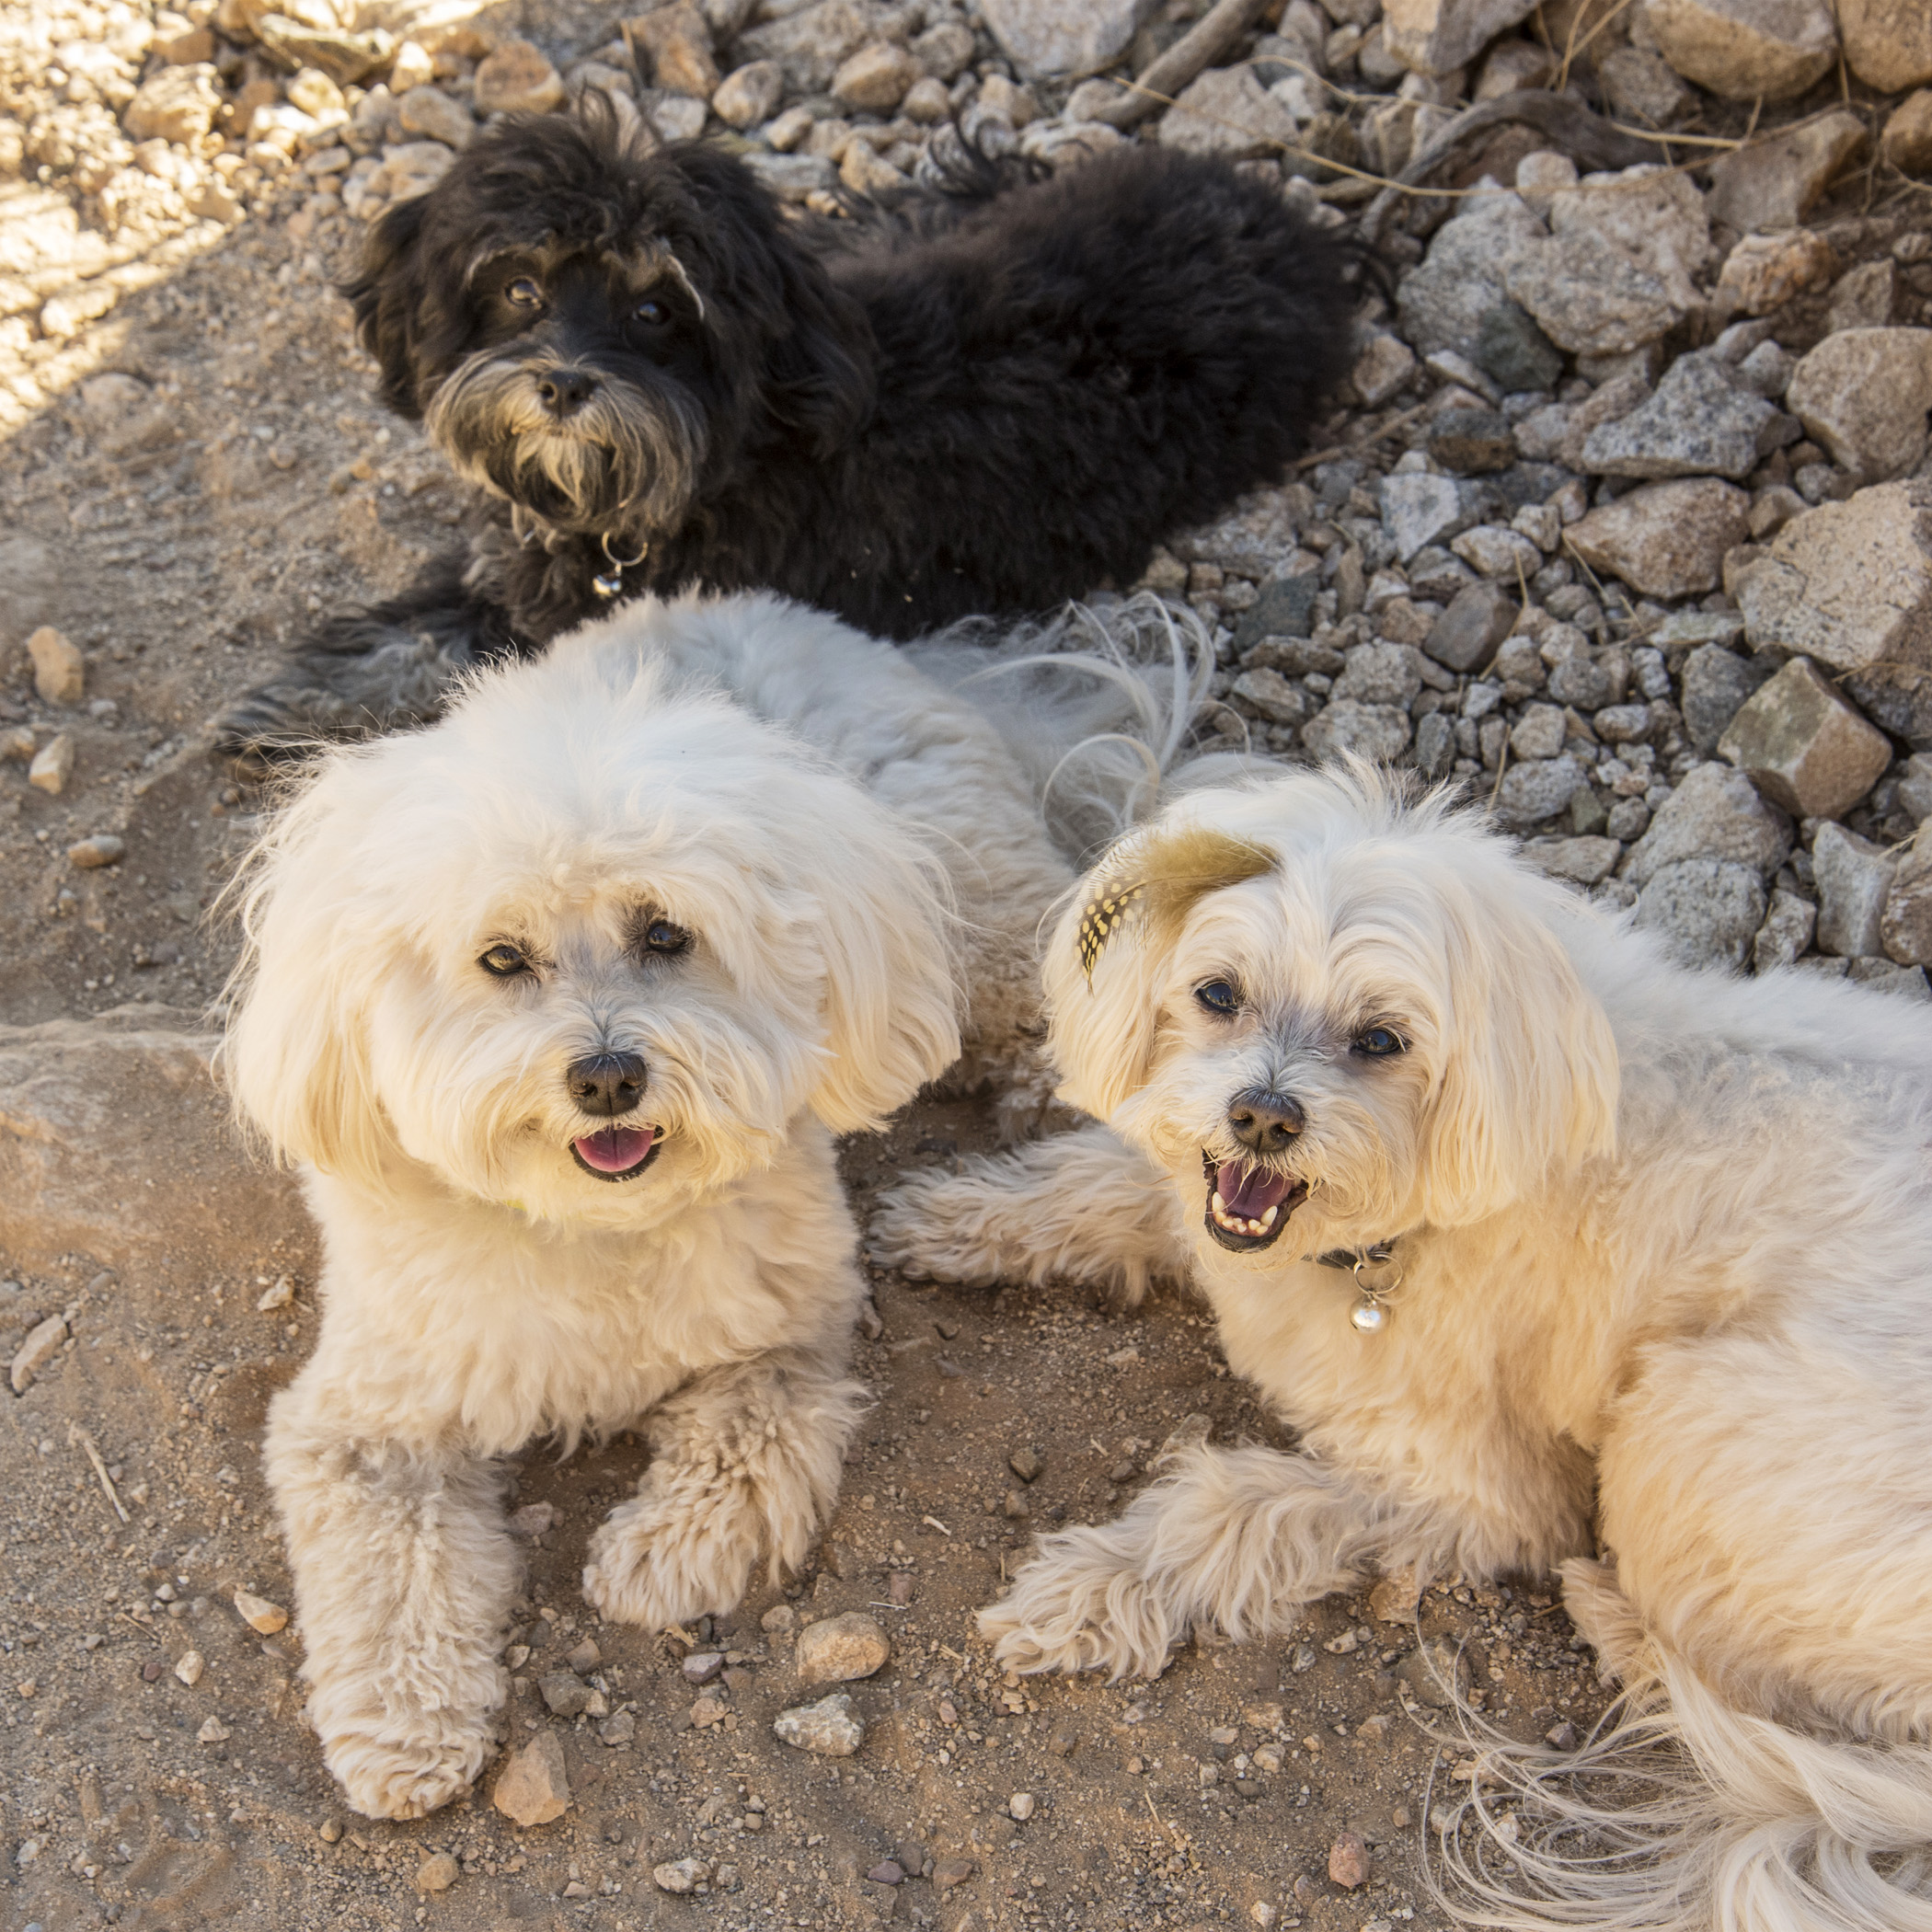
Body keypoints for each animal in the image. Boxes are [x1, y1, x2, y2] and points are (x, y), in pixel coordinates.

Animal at [219, 101, 1367, 757]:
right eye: (518, 288)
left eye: (657, 310)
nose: (562, 385)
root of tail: (1285, 217)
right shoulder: (517, 563)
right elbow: (418, 626)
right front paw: (305, 692)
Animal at [219, 583, 1198, 1808]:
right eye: (501, 959)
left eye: (664, 933)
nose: (605, 1078)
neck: (597, 1228)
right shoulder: (365, 1419)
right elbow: (386, 1564)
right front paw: (402, 1733)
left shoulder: (789, 1335)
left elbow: (747, 1433)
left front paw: (659, 1557)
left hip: (969, 909)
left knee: (1043, 1007)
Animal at [880, 761, 1932, 1924]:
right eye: (1218, 994)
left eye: (1381, 1039)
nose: (1262, 1117)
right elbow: (1107, 1182)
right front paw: (962, 1215)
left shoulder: (1482, 1493)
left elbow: (1232, 1505)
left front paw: (1098, 1582)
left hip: (1691, 1428)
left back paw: (1618, 1620)